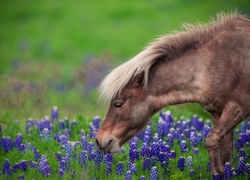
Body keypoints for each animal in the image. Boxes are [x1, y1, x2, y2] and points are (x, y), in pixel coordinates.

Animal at [94, 11, 250, 176]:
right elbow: (225, 152)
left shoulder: (238, 107)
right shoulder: (216, 112)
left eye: (118, 104)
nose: (99, 140)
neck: (210, 65)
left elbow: (211, 139)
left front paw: (218, 172)